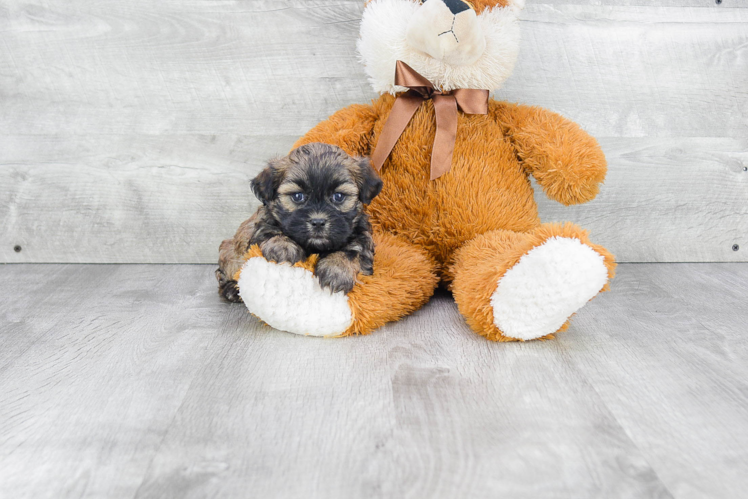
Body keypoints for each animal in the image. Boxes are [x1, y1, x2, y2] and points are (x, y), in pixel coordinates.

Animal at [215, 143, 380, 302]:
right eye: (297, 196)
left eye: (338, 196)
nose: (318, 222)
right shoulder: (262, 224)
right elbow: (269, 231)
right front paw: (283, 247)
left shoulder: (361, 236)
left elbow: (353, 251)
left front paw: (337, 268)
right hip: (230, 251)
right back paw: (232, 288)